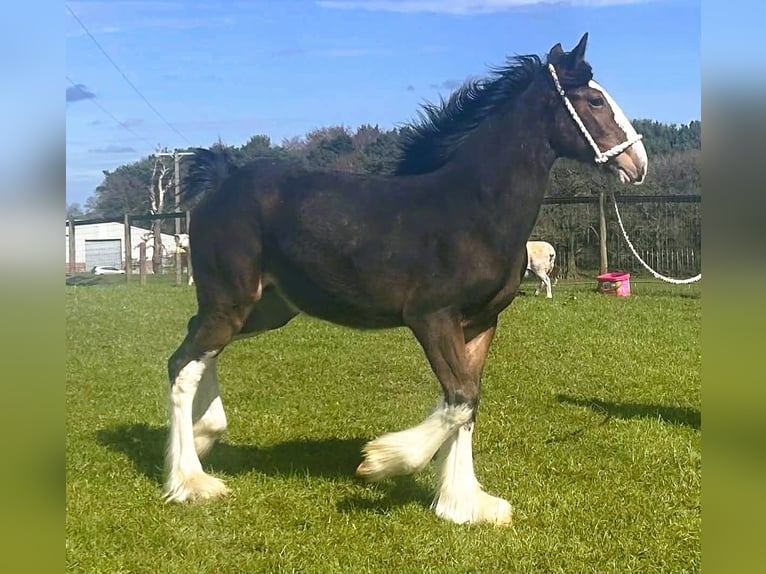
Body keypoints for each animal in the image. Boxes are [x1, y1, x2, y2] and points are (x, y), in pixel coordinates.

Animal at [163, 33, 647, 526]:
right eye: (594, 100)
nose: (638, 162)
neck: (473, 209)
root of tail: (220, 185)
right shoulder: (430, 317)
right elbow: (460, 397)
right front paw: (382, 461)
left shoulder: (479, 322)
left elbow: (467, 401)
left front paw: (464, 502)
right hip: (233, 301)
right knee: (183, 364)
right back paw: (191, 480)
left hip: (266, 308)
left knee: (196, 348)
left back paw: (206, 435)